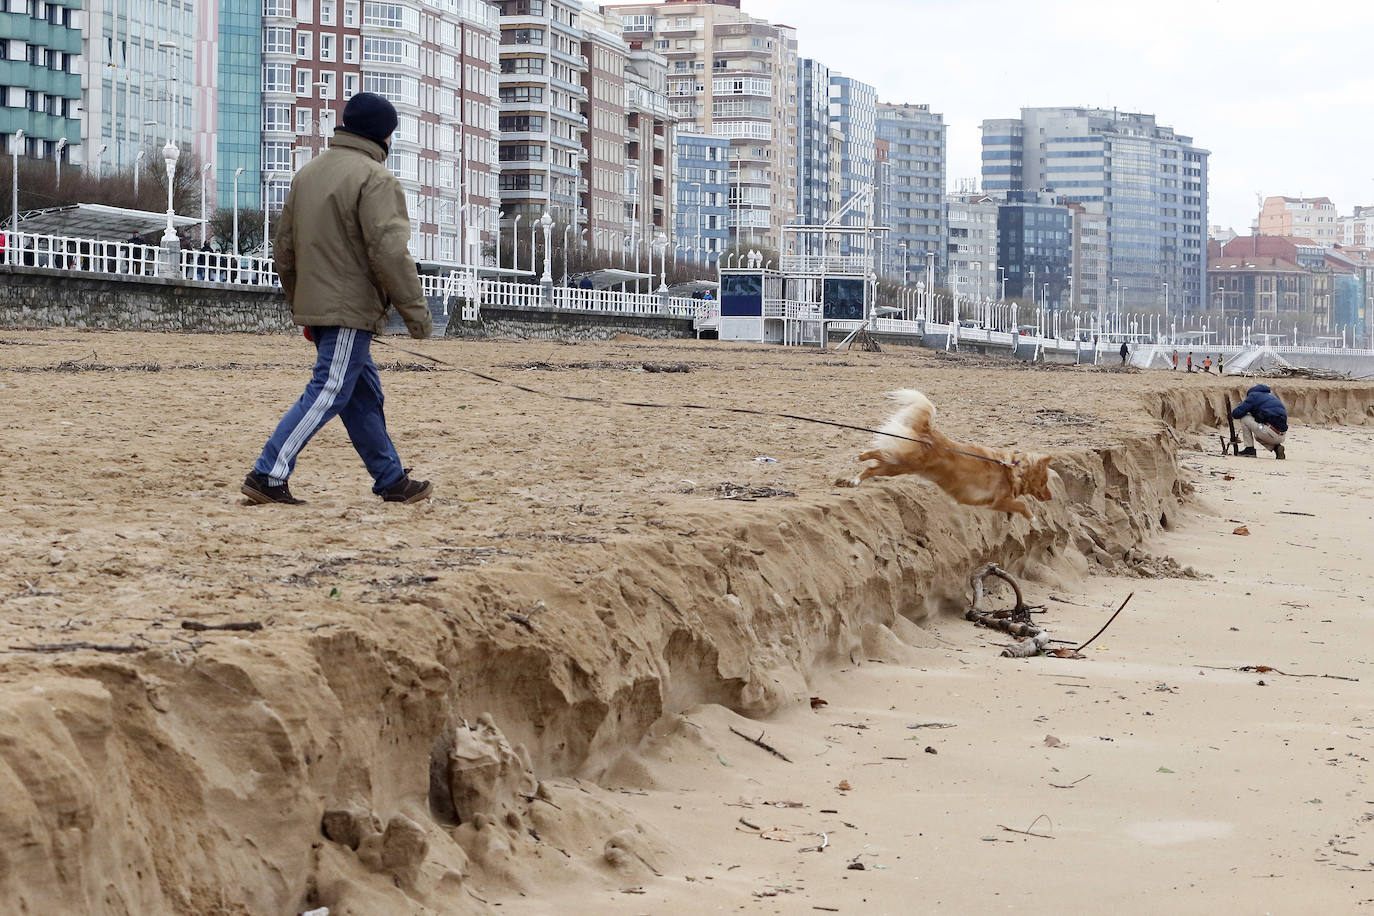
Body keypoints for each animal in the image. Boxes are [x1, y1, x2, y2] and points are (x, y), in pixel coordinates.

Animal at [851, 387, 1055, 519]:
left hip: (897, 466)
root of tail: (928, 431)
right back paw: (860, 457)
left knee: (873, 467)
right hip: (904, 461)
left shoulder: (993, 504)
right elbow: (1021, 504)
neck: (1012, 469)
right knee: (879, 452)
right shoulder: (998, 501)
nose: (1051, 497)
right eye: (1044, 482)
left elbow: (1017, 505)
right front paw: (1032, 517)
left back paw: (856, 478)